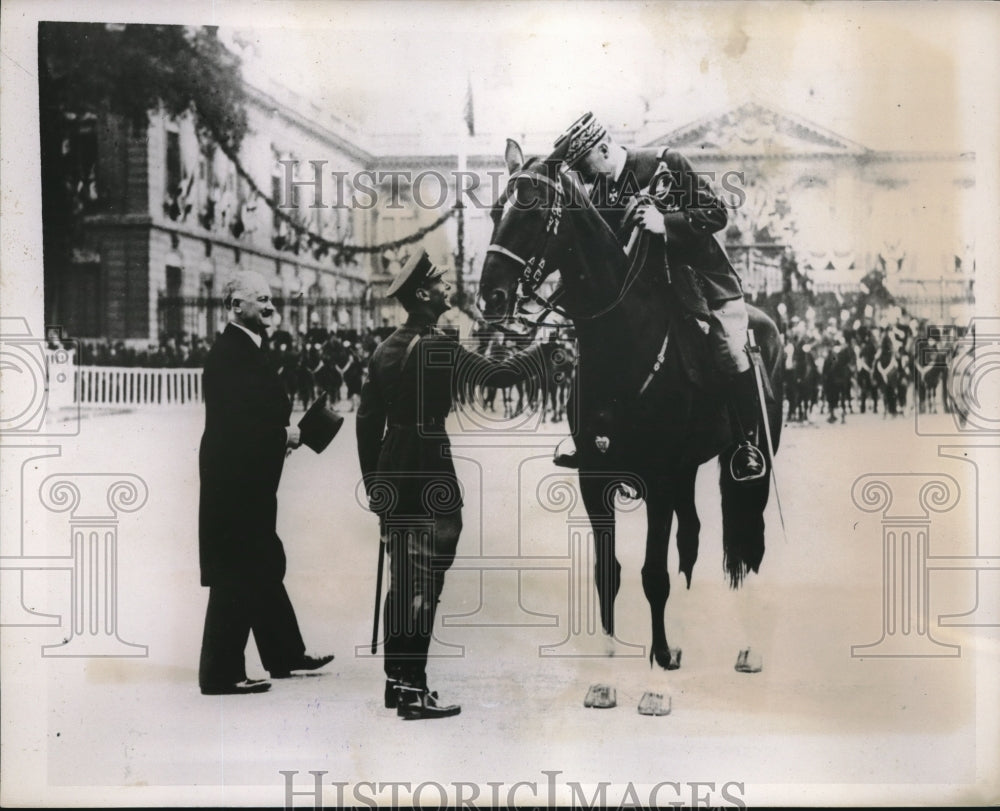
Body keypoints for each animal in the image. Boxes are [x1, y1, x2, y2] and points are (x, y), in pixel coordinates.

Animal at [476, 141, 780, 672]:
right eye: (496, 211)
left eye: (532, 210)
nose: (490, 297)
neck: (622, 337)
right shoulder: (594, 477)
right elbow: (609, 570)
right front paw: (609, 650)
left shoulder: (657, 479)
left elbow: (652, 573)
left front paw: (659, 654)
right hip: (685, 469)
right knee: (692, 535)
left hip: (749, 459)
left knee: (749, 535)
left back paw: (746, 641)